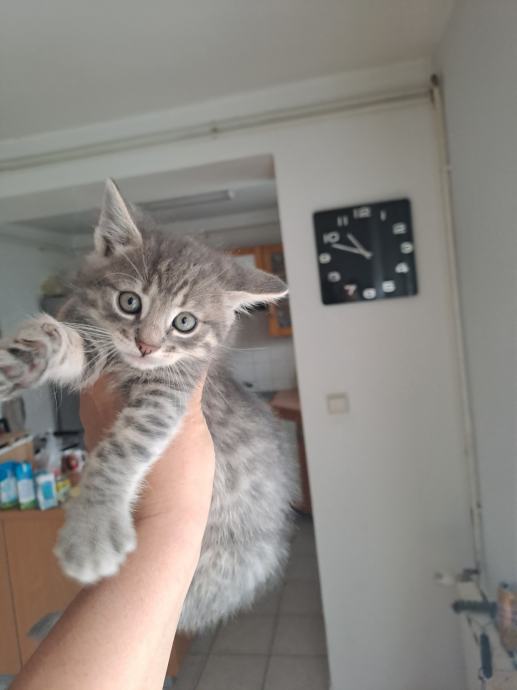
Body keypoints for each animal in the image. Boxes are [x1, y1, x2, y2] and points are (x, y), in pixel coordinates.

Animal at [0, 180, 299, 633]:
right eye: (129, 302)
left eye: (185, 322)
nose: (147, 345)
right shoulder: (100, 352)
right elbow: (68, 341)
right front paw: (30, 351)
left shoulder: (172, 390)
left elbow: (126, 444)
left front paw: (91, 529)